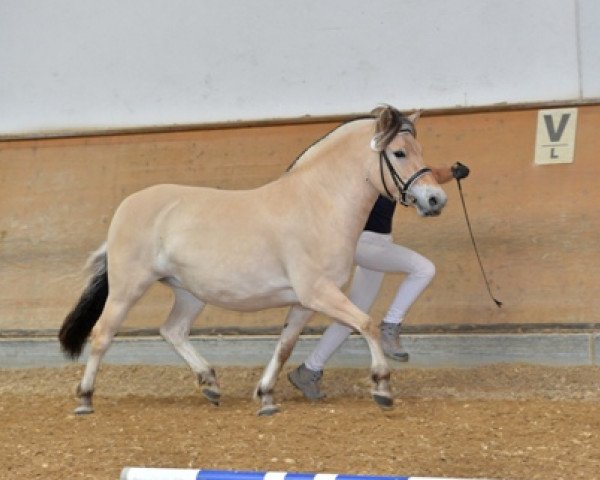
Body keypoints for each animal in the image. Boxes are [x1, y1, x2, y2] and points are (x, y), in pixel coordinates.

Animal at [59, 106, 446, 416]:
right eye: (399, 152)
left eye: (420, 150)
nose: (435, 199)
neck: (318, 203)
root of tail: (127, 206)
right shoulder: (318, 293)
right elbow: (366, 324)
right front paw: (382, 387)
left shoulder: (305, 302)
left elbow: (285, 346)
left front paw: (267, 397)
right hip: (128, 288)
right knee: (102, 334)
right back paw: (85, 399)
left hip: (188, 293)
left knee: (173, 330)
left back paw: (210, 384)